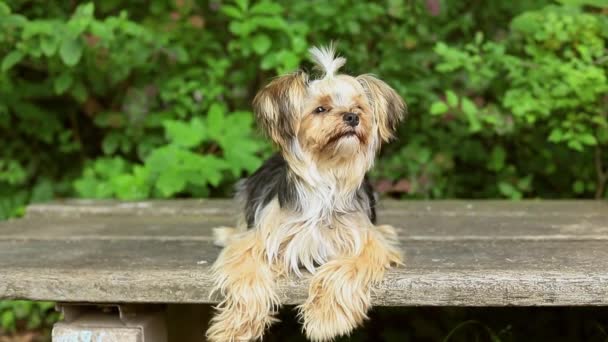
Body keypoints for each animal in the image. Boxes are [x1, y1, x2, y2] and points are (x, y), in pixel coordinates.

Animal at [207, 45, 406, 342]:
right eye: (321, 109)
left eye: (358, 107)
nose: (352, 117)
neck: (327, 177)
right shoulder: (258, 240)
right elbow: (246, 276)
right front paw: (235, 327)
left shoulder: (366, 243)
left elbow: (345, 269)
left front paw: (326, 318)